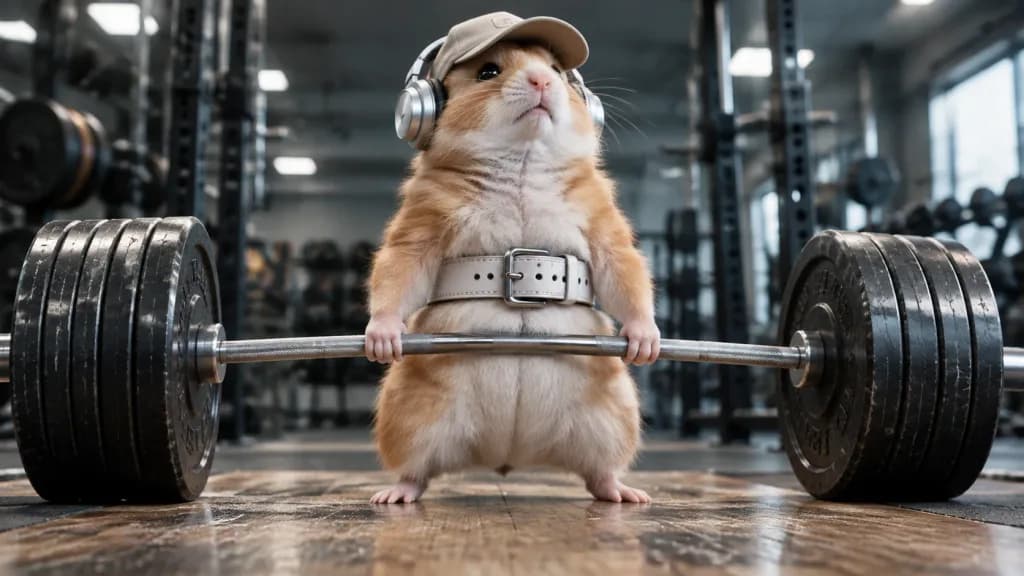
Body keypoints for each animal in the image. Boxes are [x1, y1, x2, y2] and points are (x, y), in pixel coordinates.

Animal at [365, 41, 660, 504]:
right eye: (488, 71)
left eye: (556, 67)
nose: (542, 80)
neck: (523, 159)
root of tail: (509, 457)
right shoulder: (419, 223)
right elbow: (397, 272)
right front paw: (382, 340)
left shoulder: (603, 224)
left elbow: (626, 273)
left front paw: (645, 343)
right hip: (409, 419)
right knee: (415, 471)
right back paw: (394, 494)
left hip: (613, 419)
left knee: (600, 473)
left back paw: (627, 493)